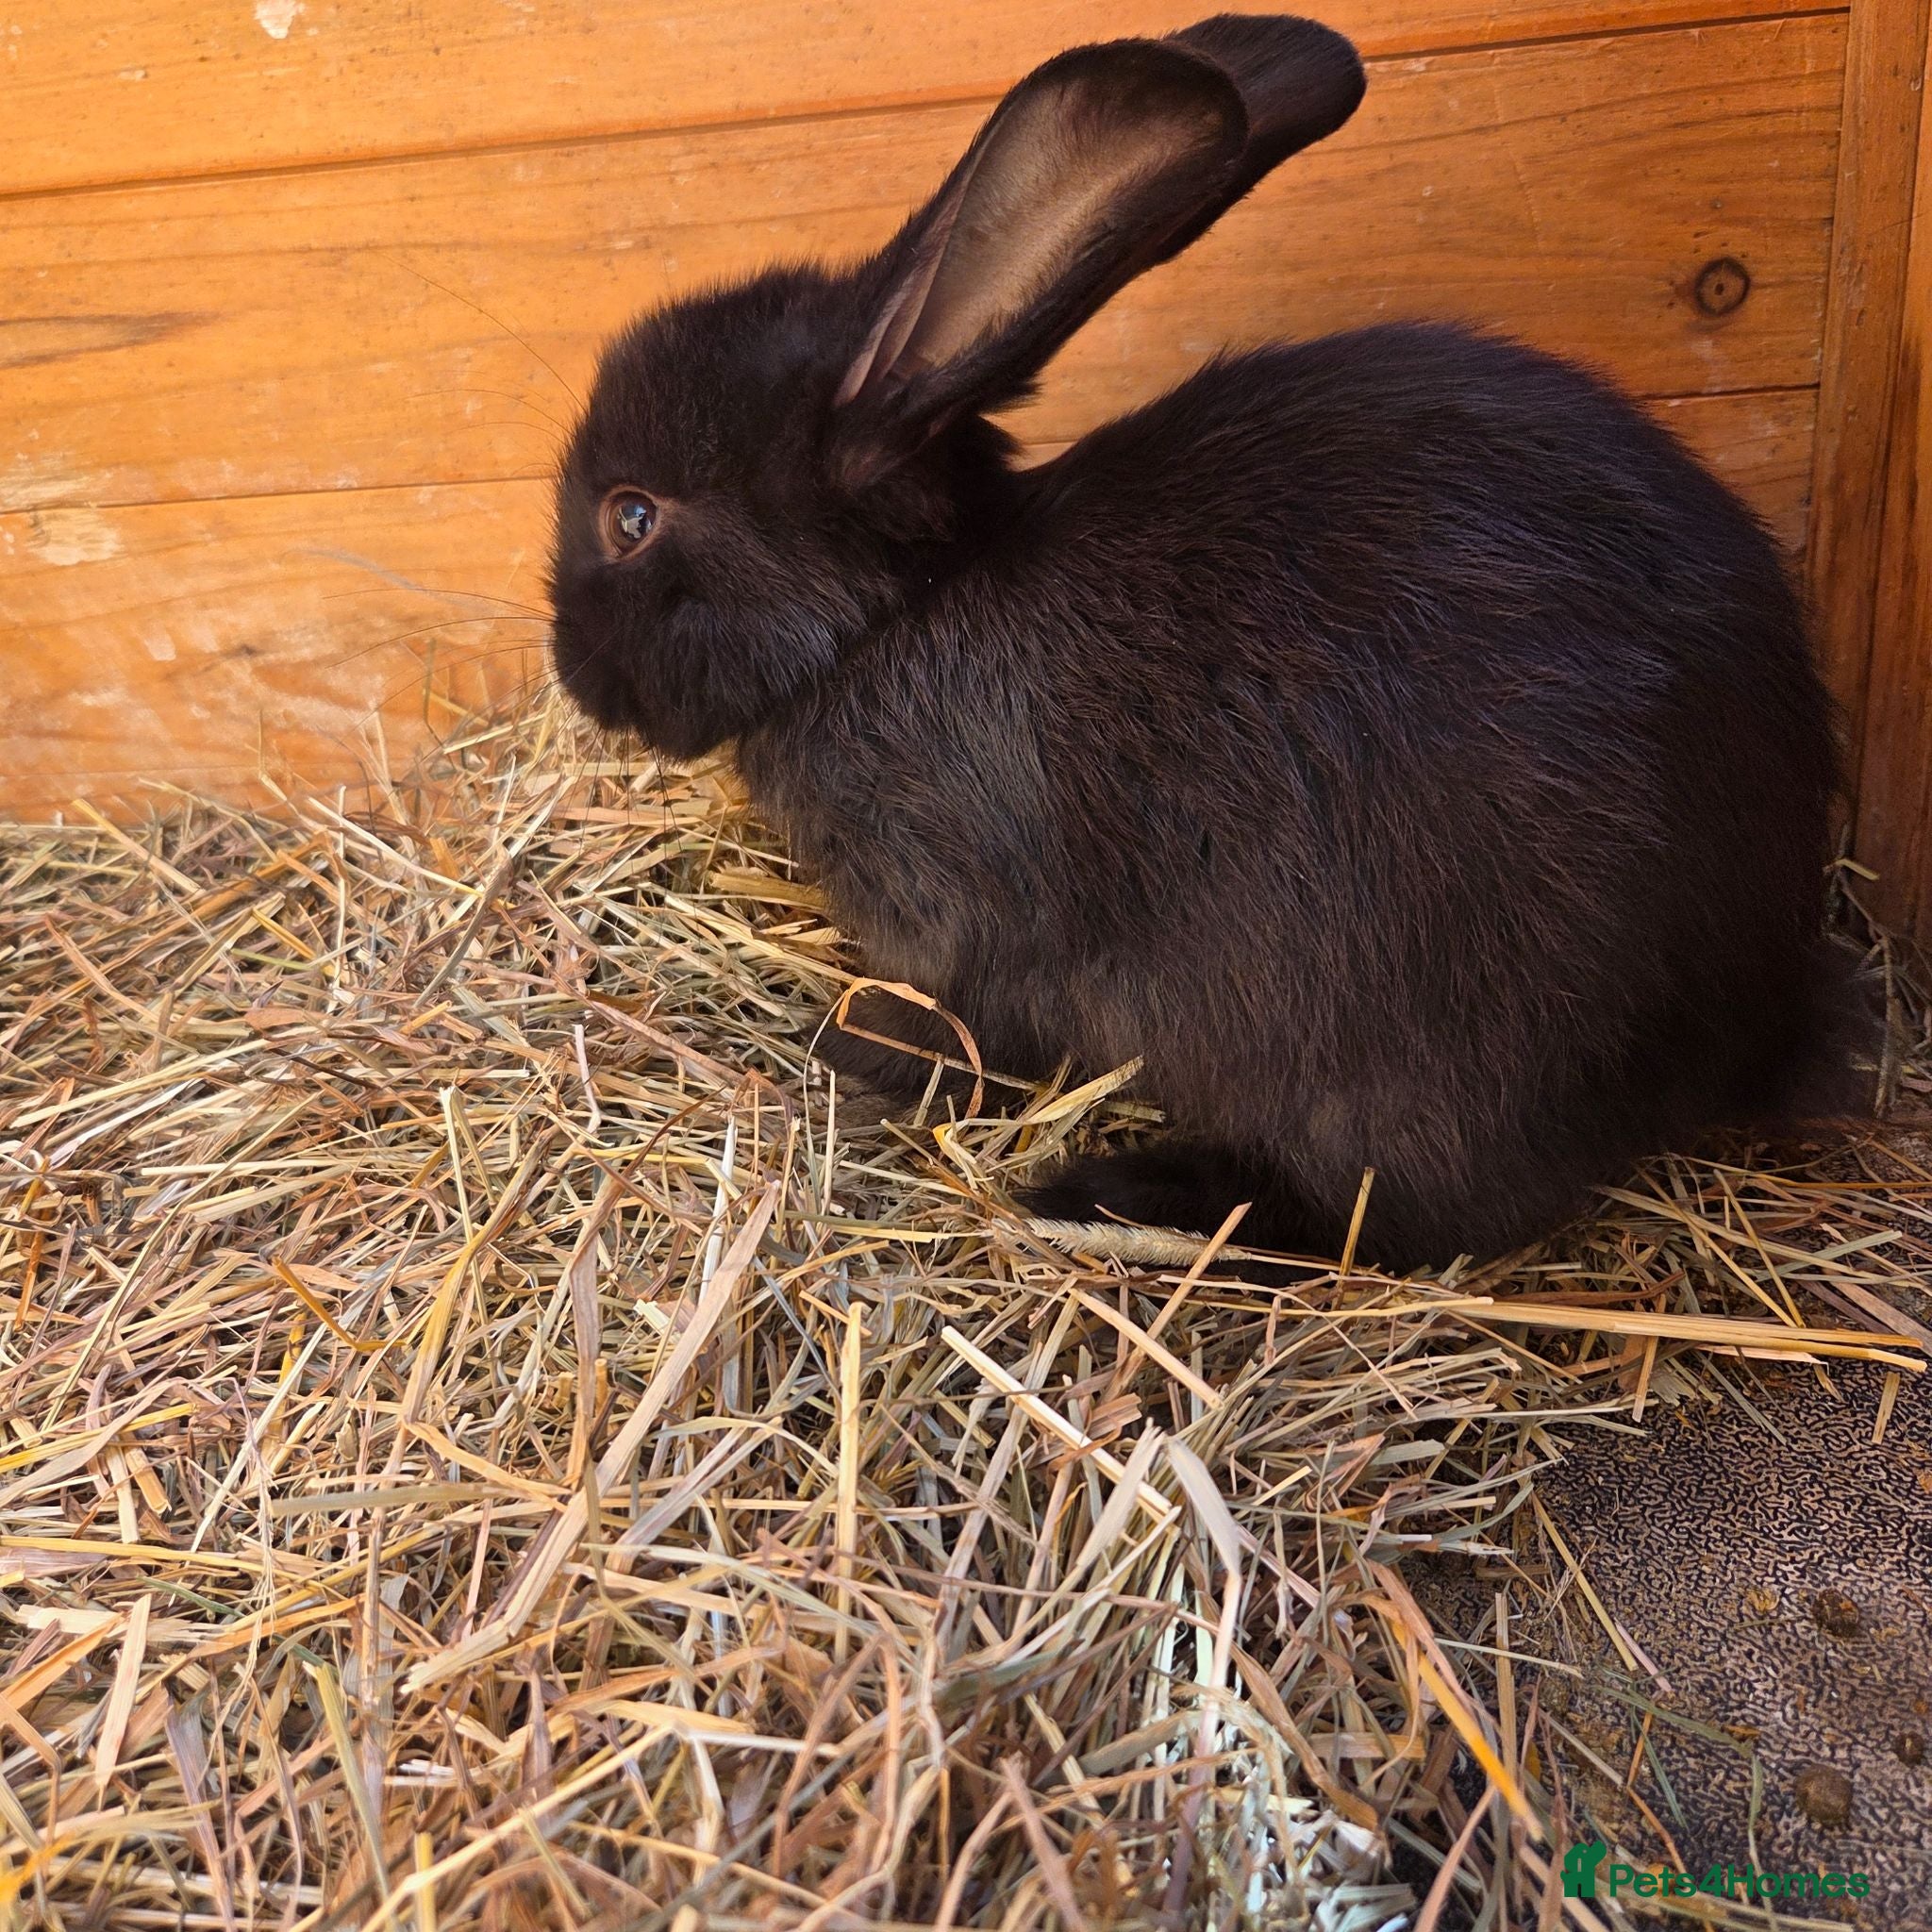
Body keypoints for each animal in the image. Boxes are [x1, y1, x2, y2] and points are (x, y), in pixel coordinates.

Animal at [548, 12, 1845, 1270]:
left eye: (631, 516)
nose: (573, 672)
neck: (889, 617)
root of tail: (1758, 1005)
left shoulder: (947, 921)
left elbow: (936, 1027)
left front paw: (827, 1053)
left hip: (1413, 1053)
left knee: (1397, 1219)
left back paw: (1115, 1197)